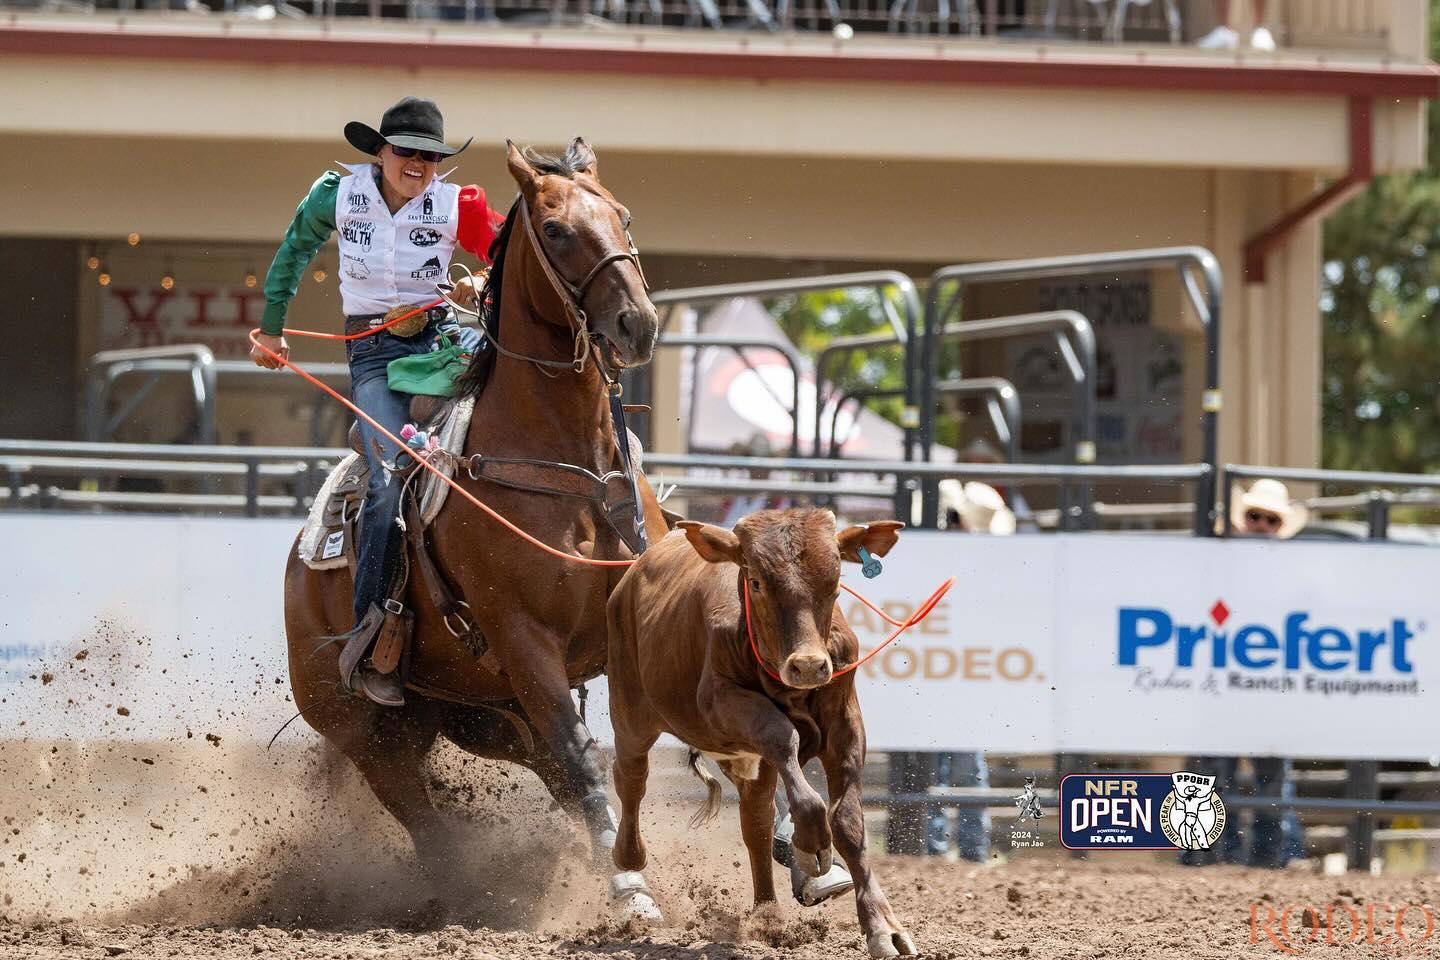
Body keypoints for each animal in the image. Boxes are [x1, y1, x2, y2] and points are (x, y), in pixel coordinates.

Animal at [283, 138, 671, 921]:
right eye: (554, 230)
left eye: (622, 215)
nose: (637, 326)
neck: (573, 470)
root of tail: (298, 564)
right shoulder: (527, 642)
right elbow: (586, 755)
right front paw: (628, 890)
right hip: (365, 727)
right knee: (425, 814)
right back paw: (464, 894)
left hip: (476, 709)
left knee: (545, 765)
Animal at [604, 506, 915, 955]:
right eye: (756, 582)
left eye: (835, 583)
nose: (809, 666)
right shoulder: (723, 703)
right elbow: (785, 742)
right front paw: (811, 846)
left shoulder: (845, 725)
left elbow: (848, 822)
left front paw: (882, 927)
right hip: (631, 710)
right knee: (631, 776)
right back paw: (629, 856)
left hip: (747, 759)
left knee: (755, 822)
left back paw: (768, 914)